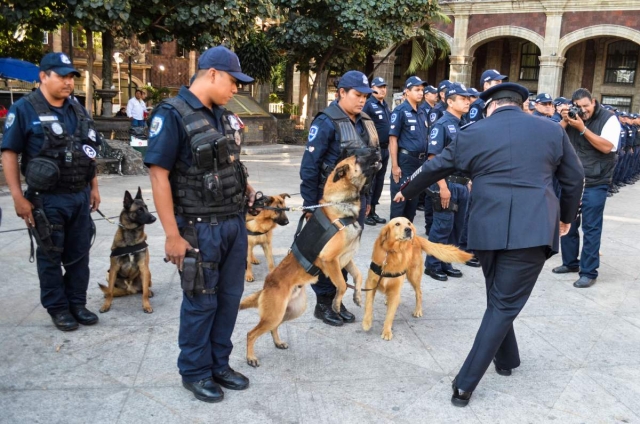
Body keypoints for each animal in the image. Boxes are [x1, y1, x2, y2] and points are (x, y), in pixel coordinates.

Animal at [240, 153, 380, 368]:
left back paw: (278, 342)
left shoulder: (345, 259)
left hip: (290, 311)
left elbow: (357, 276)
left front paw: (357, 296)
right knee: (251, 333)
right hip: (274, 314)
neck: (339, 206)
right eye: (359, 158)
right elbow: (341, 284)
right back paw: (251, 357)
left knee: (273, 328)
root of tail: (266, 286)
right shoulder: (330, 260)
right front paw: (336, 305)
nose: (378, 153)